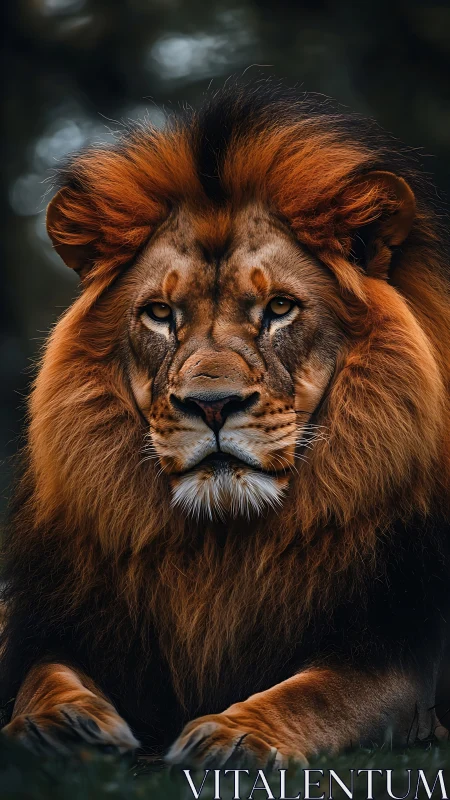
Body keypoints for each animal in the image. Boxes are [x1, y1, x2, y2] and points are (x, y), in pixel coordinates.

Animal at [1, 82, 449, 767]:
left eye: (280, 307)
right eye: (160, 314)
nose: (212, 406)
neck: (223, 550)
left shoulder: (402, 651)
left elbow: (319, 693)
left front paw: (235, 734)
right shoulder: (49, 628)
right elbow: (41, 677)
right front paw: (60, 725)